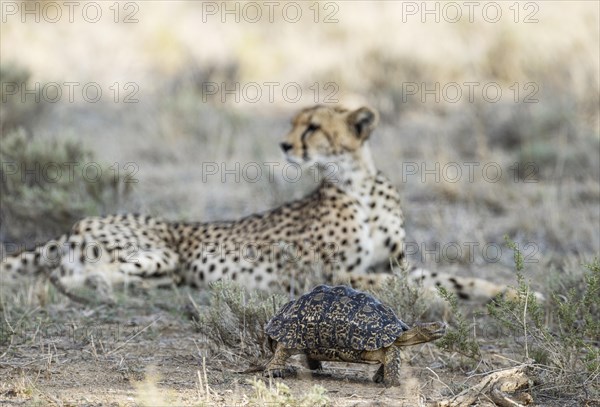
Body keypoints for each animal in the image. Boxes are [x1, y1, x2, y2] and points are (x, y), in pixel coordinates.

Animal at [0, 105, 524, 302]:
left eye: (312, 126)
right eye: (294, 123)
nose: (285, 145)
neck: (358, 183)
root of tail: (75, 224)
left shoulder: (397, 262)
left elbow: (455, 277)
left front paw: (516, 294)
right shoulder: (327, 274)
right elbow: (392, 283)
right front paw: (432, 300)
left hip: (164, 267)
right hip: (159, 251)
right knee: (61, 276)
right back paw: (97, 286)